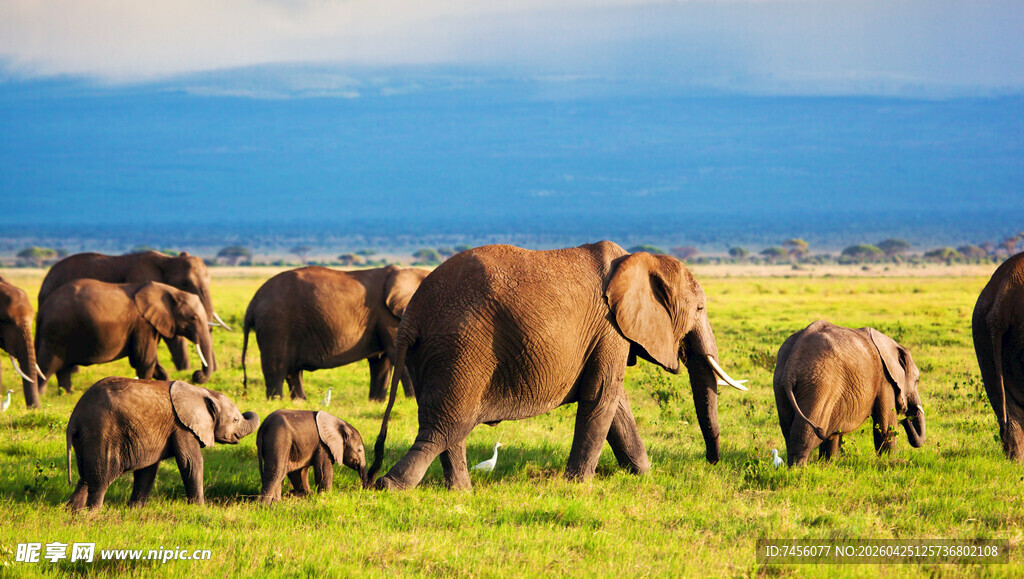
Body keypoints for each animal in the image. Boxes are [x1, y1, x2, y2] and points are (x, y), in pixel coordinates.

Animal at [36, 280, 216, 393]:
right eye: (193, 318)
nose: (197, 375)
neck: (170, 290)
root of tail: (44, 308)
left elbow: (150, 361)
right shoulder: (143, 324)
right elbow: (144, 359)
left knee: (63, 369)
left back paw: (68, 394)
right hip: (57, 332)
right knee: (47, 366)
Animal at [66, 377, 259, 511]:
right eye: (235, 420)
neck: (202, 392)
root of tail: (75, 417)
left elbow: (148, 469)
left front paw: (135, 510)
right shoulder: (182, 427)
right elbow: (191, 462)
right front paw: (199, 508)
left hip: (86, 438)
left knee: (85, 477)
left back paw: (74, 511)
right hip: (102, 433)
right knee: (101, 477)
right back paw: (94, 512)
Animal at [242, 265, 429, 401]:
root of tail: (253, 302)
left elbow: (381, 361)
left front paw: (376, 402)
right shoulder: (390, 316)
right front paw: (413, 401)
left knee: (293, 372)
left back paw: (300, 402)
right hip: (276, 325)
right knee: (277, 369)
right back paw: (277, 401)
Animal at [367, 242, 747, 491]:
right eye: (699, 309)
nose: (712, 462)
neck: (638, 261)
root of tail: (413, 315)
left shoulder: (606, 335)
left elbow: (616, 404)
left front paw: (641, 474)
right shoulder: (609, 328)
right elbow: (601, 396)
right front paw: (579, 485)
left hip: (434, 354)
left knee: (450, 428)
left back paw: (460, 491)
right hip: (461, 348)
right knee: (444, 427)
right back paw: (391, 486)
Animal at [773, 320, 926, 466]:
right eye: (917, 380)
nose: (905, 421)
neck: (892, 344)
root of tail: (792, 363)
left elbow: (834, 433)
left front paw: (827, 464)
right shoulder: (884, 380)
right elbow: (886, 427)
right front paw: (888, 461)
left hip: (781, 385)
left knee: (788, 428)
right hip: (819, 384)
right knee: (808, 429)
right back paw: (799, 469)